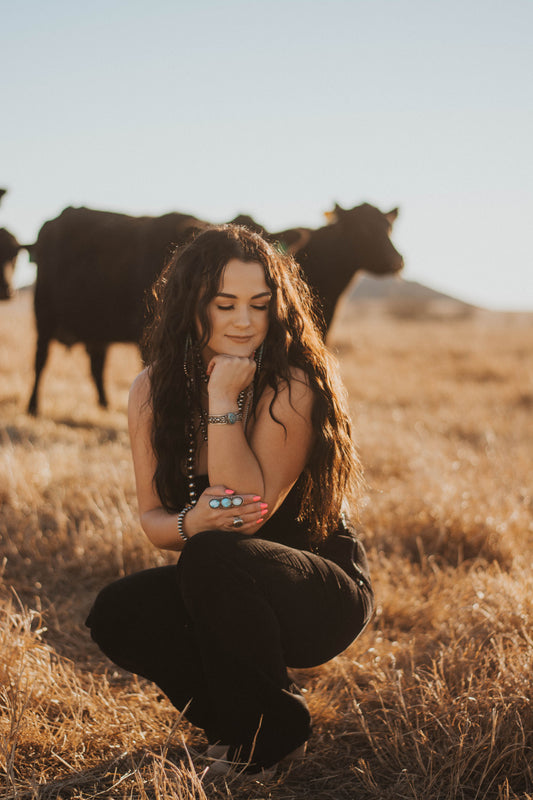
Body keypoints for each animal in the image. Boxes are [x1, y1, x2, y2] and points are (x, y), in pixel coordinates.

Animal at [26, 202, 400, 412]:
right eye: (362, 228)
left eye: (388, 225)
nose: (398, 260)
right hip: (42, 313)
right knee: (41, 361)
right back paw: (33, 408)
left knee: (95, 365)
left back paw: (103, 406)